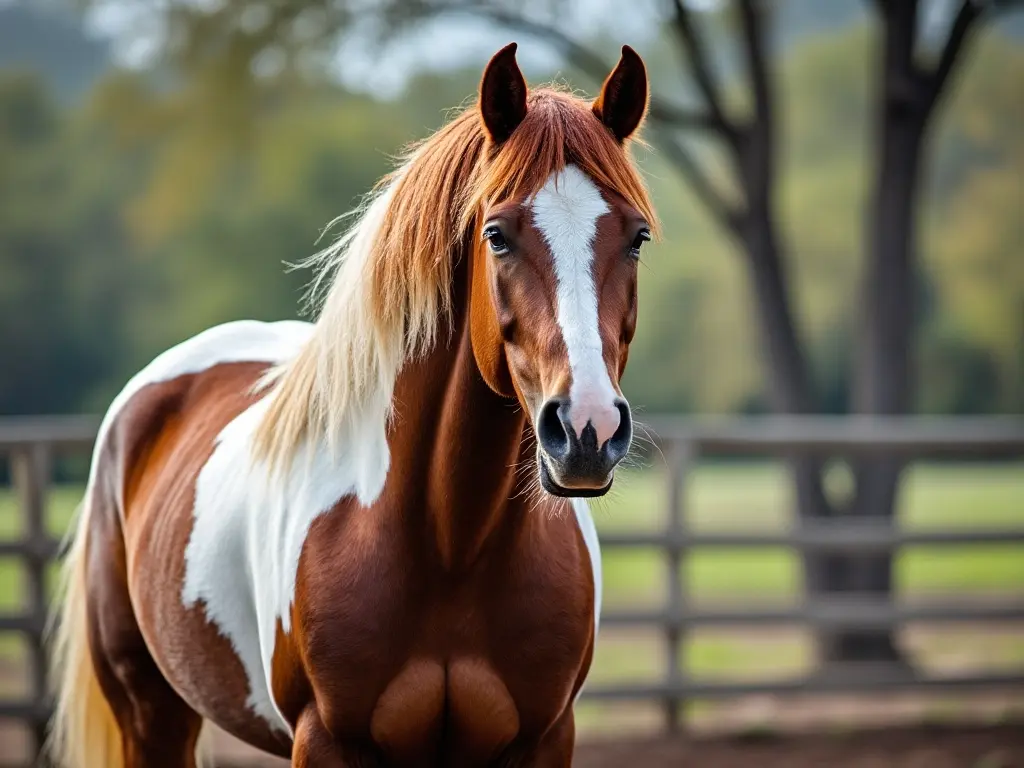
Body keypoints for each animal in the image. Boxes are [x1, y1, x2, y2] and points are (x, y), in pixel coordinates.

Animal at [48, 41, 655, 768]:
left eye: (638, 237)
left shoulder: (543, 739)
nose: (587, 430)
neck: (451, 547)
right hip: (149, 713)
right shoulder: (326, 739)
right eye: (497, 235)